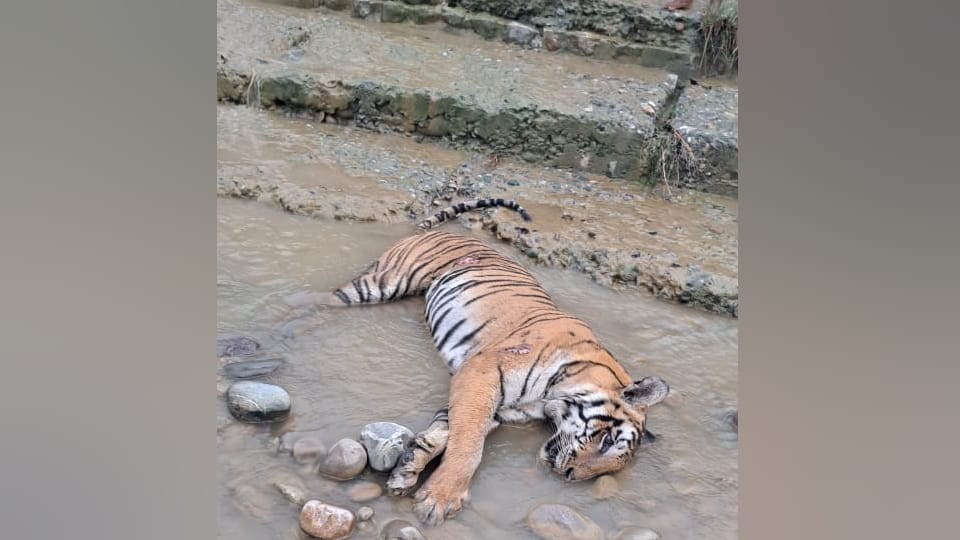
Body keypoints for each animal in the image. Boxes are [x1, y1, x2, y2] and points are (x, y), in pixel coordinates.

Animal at [283, 198, 670, 526]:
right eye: (607, 441)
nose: (569, 476)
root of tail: (435, 232)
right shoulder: (481, 375)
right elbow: (468, 445)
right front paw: (439, 498)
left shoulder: (495, 405)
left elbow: (442, 435)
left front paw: (407, 471)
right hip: (383, 282)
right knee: (325, 301)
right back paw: (287, 325)